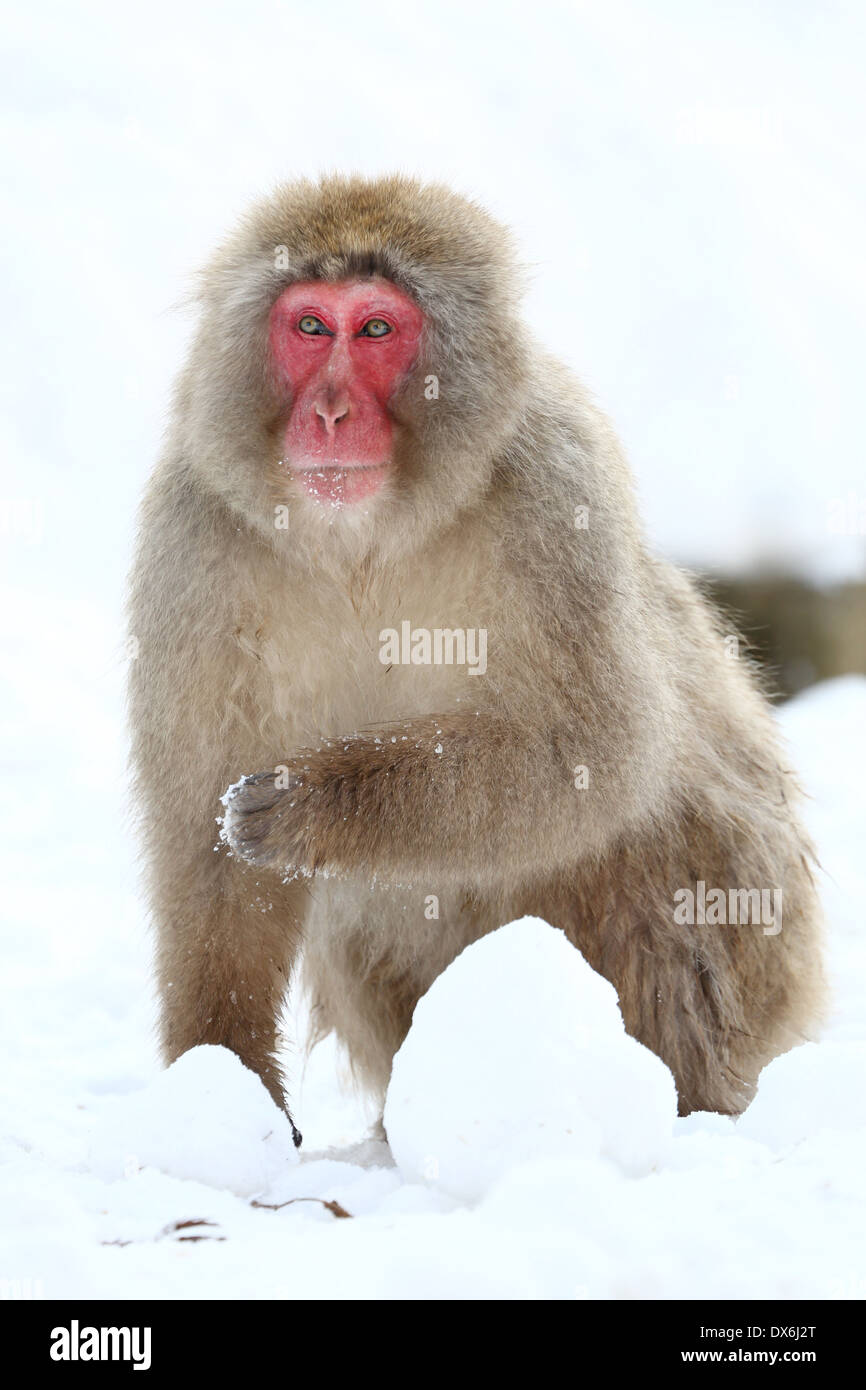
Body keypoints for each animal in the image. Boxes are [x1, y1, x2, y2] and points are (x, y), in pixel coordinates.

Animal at [128, 170, 828, 1139]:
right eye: (309, 327)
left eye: (375, 330)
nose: (329, 412)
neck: (365, 544)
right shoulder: (190, 528)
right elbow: (205, 847)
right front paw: (230, 1100)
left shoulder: (556, 485)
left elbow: (595, 756)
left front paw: (319, 807)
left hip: (758, 967)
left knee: (652, 847)